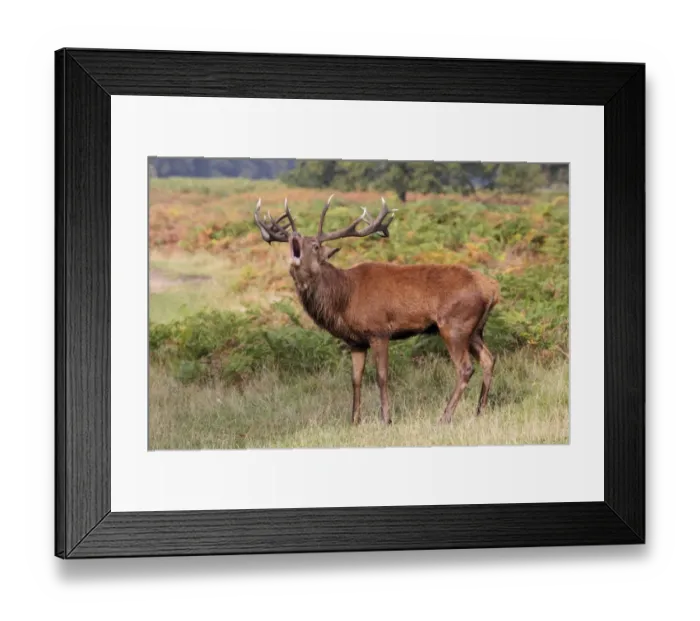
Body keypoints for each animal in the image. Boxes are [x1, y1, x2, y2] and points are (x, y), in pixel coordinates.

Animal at [254, 195, 500, 426]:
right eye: (293, 241)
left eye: (315, 245)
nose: (294, 237)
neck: (344, 299)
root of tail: (492, 288)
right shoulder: (355, 341)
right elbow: (355, 379)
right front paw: (354, 420)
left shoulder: (379, 331)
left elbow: (381, 376)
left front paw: (386, 419)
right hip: (475, 329)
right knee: (489, 359)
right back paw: (479, 411)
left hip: (454, 324)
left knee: (465, 368)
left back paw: (445, 417)